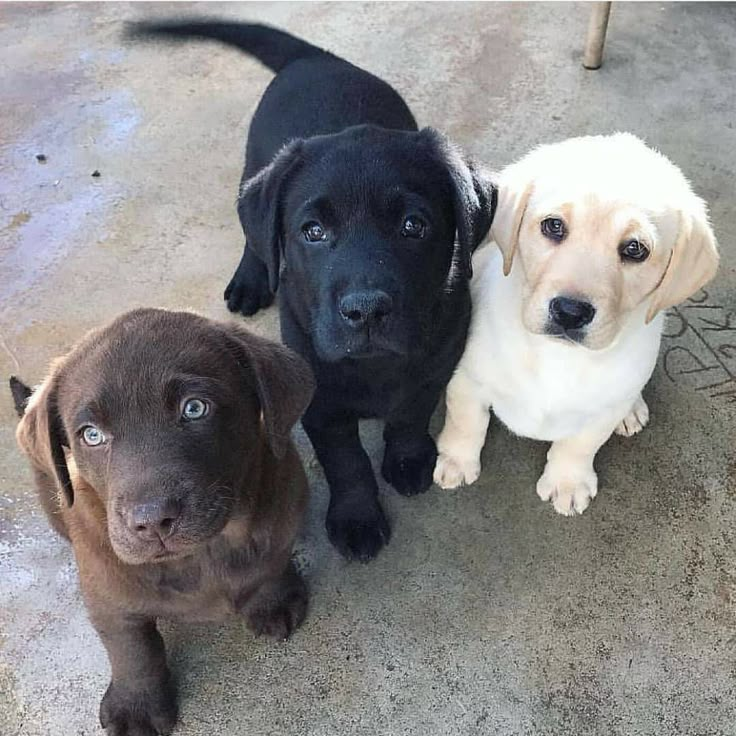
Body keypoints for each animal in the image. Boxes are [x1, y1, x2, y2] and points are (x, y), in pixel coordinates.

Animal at [129, 21, 498, 564]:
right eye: (314, 232)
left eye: (414, 226)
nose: (366, 310)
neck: (374, 367)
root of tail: (317, 58)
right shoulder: (318, 399)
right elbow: (345, 460)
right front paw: (357, 518)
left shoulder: (436, 364)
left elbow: (409, 415)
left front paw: (408, 459)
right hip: (254, 166)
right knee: (254, 232)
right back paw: (251, 279)